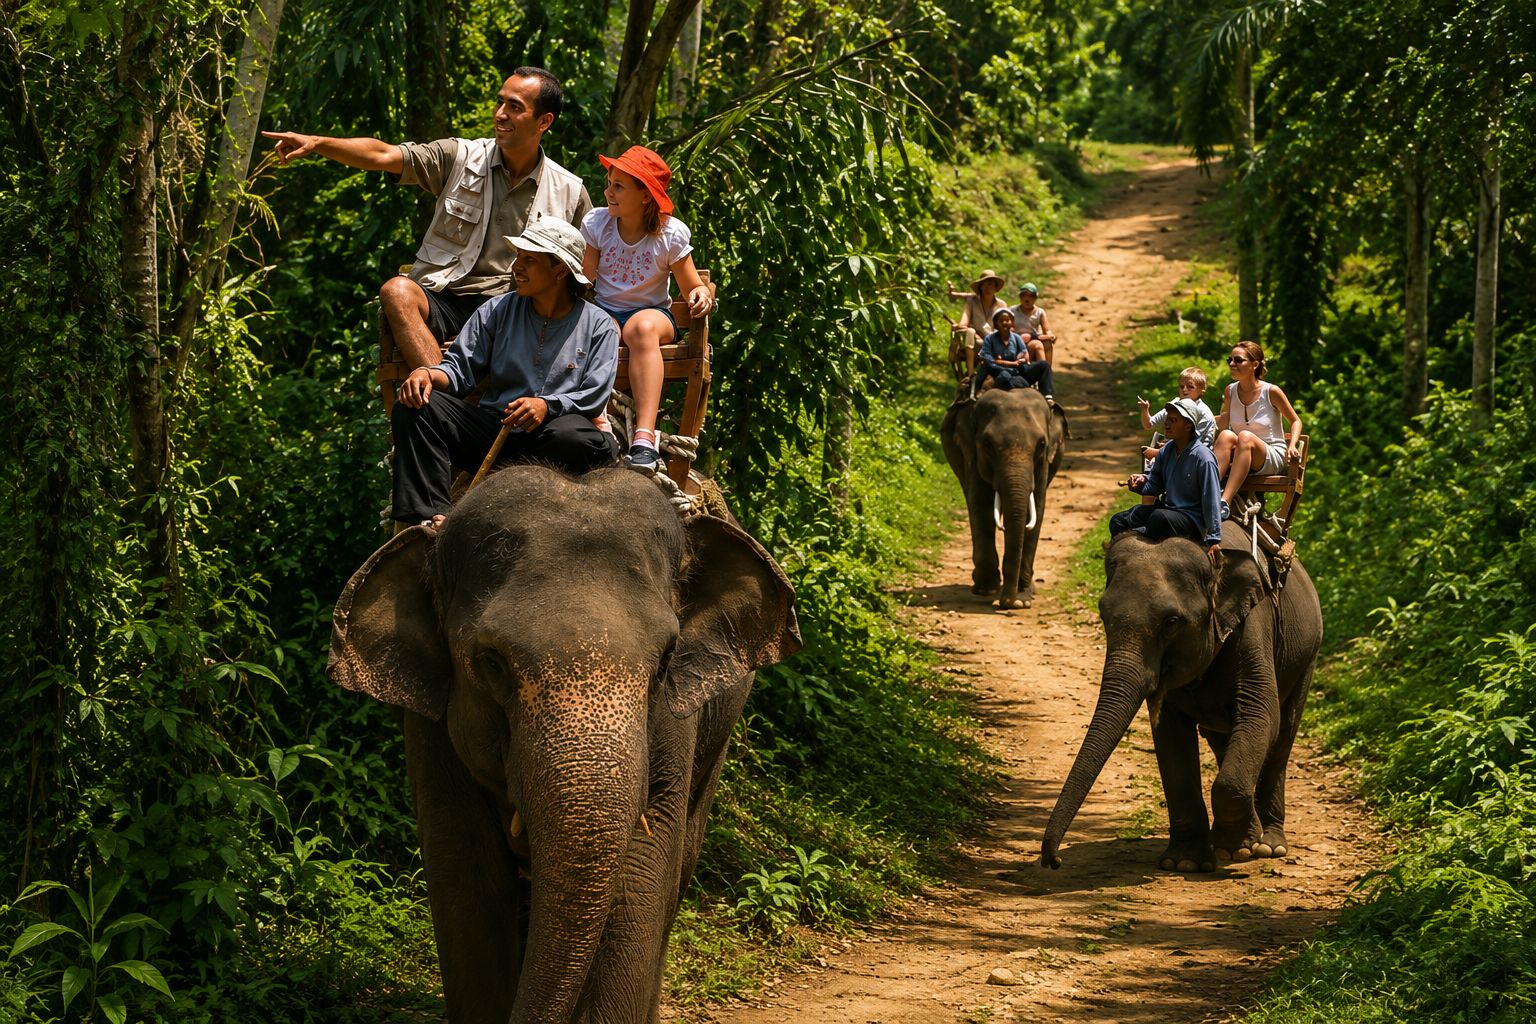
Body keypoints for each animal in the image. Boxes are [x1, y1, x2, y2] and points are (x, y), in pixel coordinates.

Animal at [326, 465, 801, 1024]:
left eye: (665, 659)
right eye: (491, 662)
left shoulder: (673, 724)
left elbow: (642, 869)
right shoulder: (432, 722)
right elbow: (465, 871)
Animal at [941, 386, 1070, 608]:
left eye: (1042, 443)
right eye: (987, 444)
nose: (1010, 602)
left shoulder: (1044, 462)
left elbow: (1036, 509)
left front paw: (1023, 599)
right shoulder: (973, 455)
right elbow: (980, 505)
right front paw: (986, 589)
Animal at [1039, 521, 1322, 872]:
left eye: (1171, 622)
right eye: (1103, 616)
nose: (1054, 861)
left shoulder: (1254, 628)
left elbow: (1260, 713)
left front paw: (1233, 850)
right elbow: (1170, 738)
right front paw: (1186, 863)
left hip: (1308, 653)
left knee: (1283, 732)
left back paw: (1269, 845)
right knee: (1225, 740)